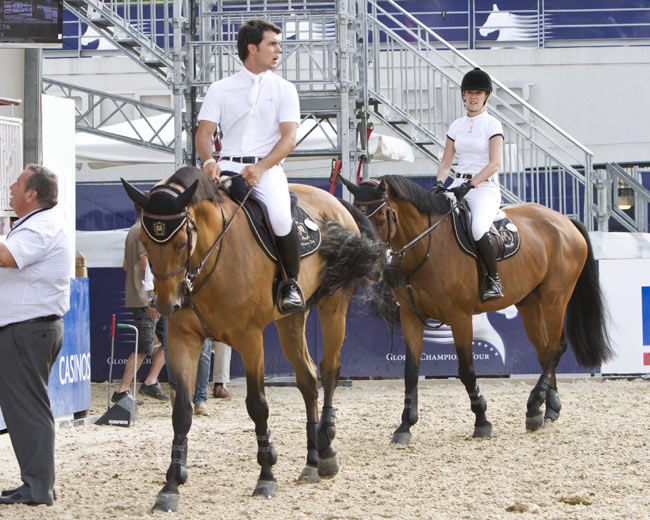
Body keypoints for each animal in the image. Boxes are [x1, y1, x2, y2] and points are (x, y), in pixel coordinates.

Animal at [121, 168, 380, 512]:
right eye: (145, 243)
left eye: (180, 243)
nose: (167, 305)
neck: (208, 261)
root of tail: (334, 201)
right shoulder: (182, 340)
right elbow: (182, 412)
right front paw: (171, 485)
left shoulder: (249, 339)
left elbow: (258, 406)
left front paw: (266, 475)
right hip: (291, 319)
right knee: (308, 378)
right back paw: (311, 461)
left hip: (333, 304)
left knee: (329, 370)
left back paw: (326, 450)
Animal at [342, 175, 612, 442]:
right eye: (357, 218)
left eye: (379, 218)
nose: (371, 267)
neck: (428, 246)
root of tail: (564, 220)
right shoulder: (411, 317)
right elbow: (410, 371)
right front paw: (405, 426)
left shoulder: (459, 317)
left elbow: (467, 370)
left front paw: (482, 421)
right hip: (530, 303)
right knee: (545, 351)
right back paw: (547, 409)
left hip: (555, 298)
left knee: (557, 346)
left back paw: (534, 405)